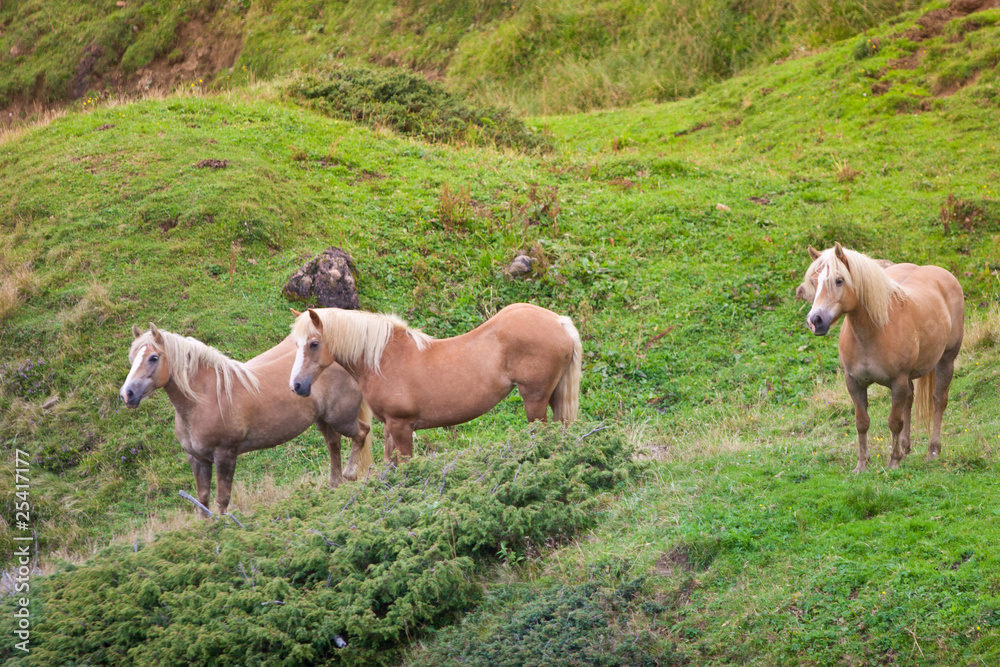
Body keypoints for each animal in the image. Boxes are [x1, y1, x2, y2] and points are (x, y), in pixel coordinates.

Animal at [119, 324, 373, 516]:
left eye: (153, 357)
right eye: (131, 357)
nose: (127, 394)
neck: (206, 398)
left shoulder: (225, 454)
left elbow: (222, 499)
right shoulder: (197, 459)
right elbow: (202, 500)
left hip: (341, 418)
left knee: (362, 433)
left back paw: (350, 475)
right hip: (322, 419)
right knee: (334, 445)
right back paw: (334, 486)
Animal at [287, 303, 582, 462]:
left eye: (314, 343)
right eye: (296, 343)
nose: (297, 386)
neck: (384, 359)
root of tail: (558, 321)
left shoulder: (402, 426)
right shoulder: (390, 427)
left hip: (535, 400)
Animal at [804, 243, 964, 472]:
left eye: (839, 280)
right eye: (814, 281)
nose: (815, 321)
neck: (871, 333)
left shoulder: (897, 381)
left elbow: (894, 421)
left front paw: (893, 461)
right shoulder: (854, 382)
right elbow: (862, 422)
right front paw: (862, 464)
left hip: (946, 360)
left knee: (939, 401)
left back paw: (932, 451)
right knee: (909, 400)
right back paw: (905, 448)